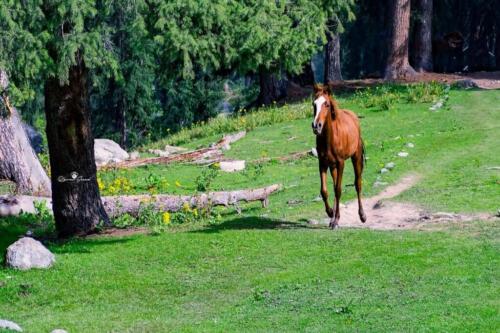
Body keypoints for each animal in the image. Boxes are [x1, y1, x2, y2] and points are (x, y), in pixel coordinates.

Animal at [312, 83, 368, 228]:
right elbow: (324, 191)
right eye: (314, 104)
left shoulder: (341, 163)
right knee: (334, 185)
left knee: (357, 183)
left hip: (355, 158)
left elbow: (338, 190)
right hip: (332, 166)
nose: (316, 126)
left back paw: (362, 215)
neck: (330, 139)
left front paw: (336, 219)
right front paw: (331, 213)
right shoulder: (322, 163)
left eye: (326, 104)